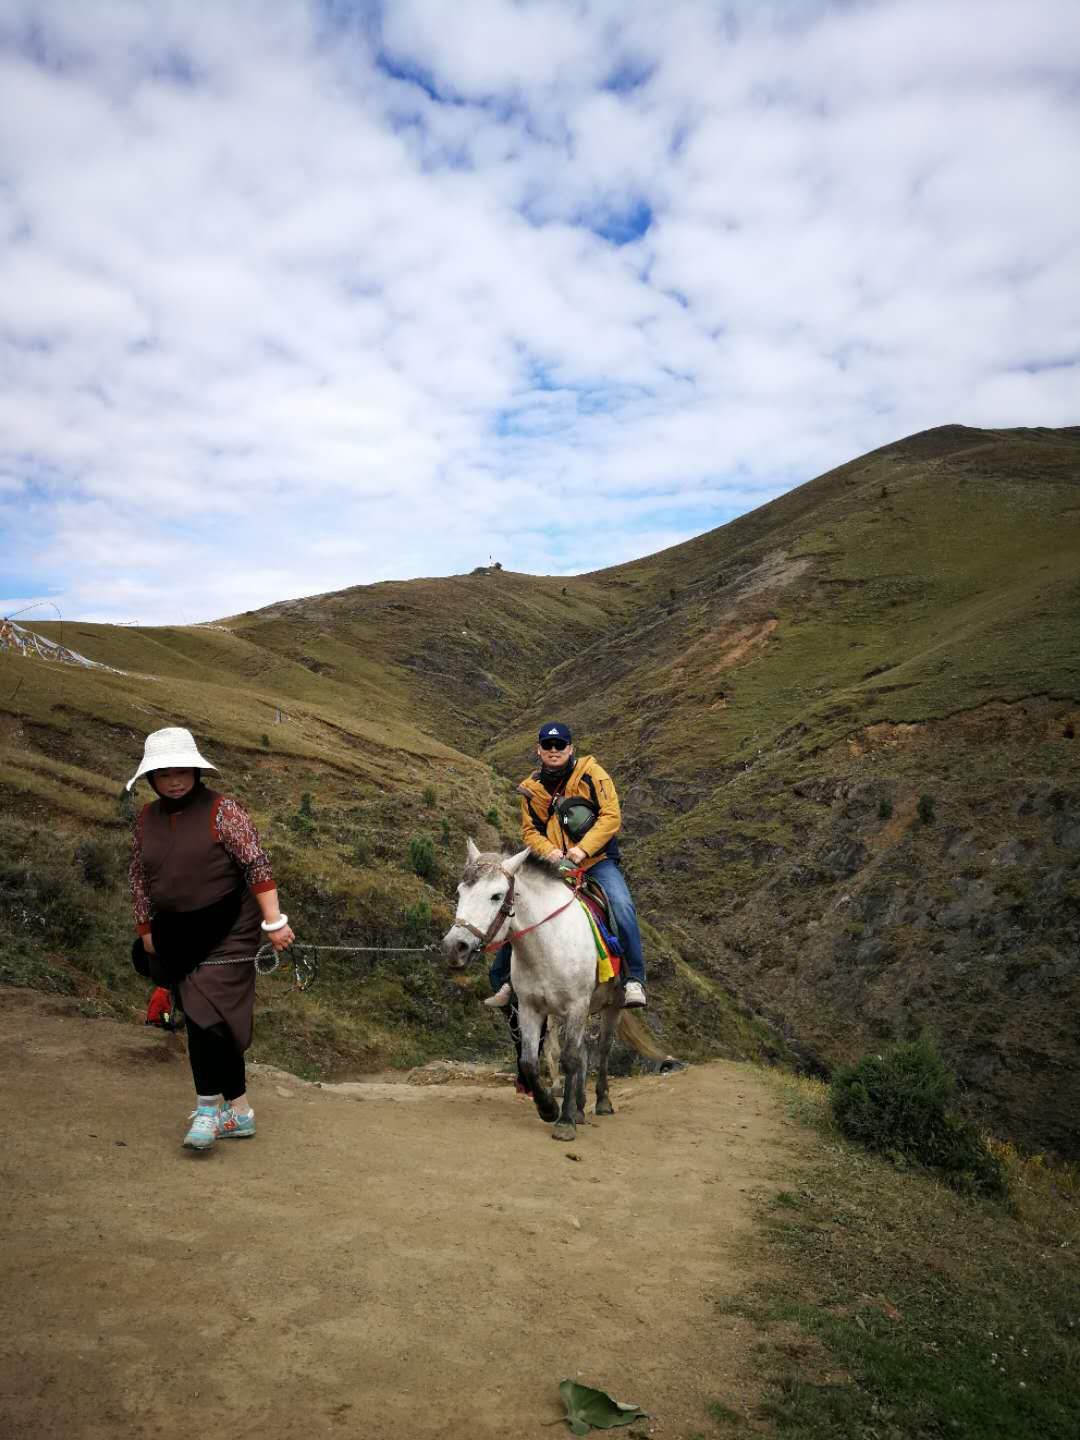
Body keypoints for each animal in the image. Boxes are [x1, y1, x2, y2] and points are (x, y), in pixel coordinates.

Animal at [440, 840, 624, 1140]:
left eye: (496, 895)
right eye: (460, 892)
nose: (455, 947)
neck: (547, 942)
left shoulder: (576, 1005)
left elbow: (570, 1059)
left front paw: (565, 1123)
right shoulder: (529, 1008)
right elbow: (529, 1061)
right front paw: (548, 1108)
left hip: (612, 1006)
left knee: (603, 1048)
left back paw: (602, 1102)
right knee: (583, 1052)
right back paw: (580, 1108)